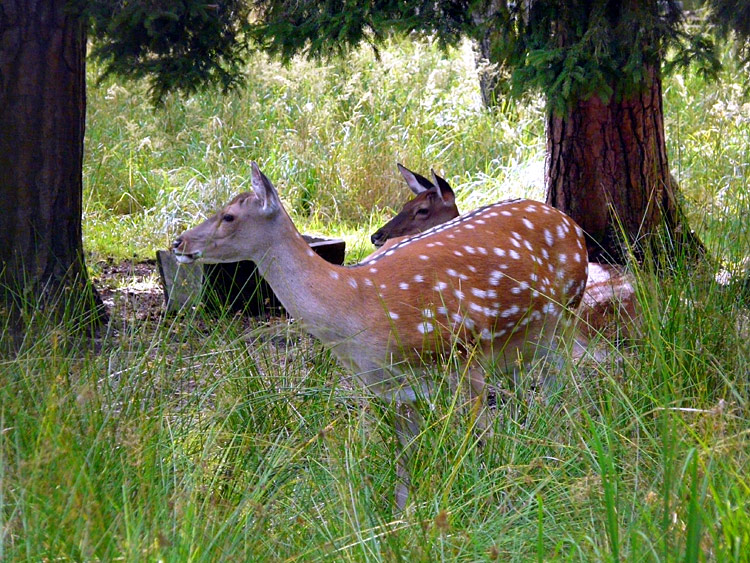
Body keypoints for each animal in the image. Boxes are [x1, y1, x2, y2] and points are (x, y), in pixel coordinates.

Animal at [173, 161, 592, 508]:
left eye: (229, 216)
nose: (178, 242)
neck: (357, 304)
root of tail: (568, 221)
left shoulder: (463, 353)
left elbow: (480, 437)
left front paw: (492, 500)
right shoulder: (389, 388)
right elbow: (404, 458)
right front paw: (401, 516)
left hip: (567, 313)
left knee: (568, 390)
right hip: (523, 344)